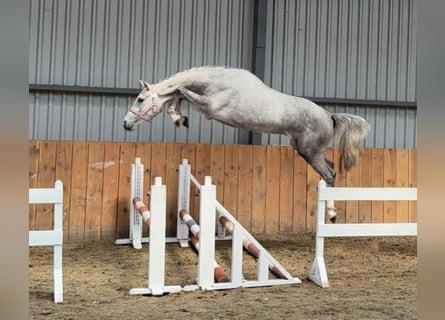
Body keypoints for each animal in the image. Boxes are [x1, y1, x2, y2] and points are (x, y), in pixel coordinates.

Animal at [123, 66, 370, 222]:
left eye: (140, 99)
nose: (126, 123)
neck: (218, 83)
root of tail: (329, 116)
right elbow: (178, 94)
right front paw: (179, 118)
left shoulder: (209, 107)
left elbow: (179, 90)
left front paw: (178, 116)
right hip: (308, 152)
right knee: (331, 168)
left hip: (310, 152)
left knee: (330, 174)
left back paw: (332, 214)